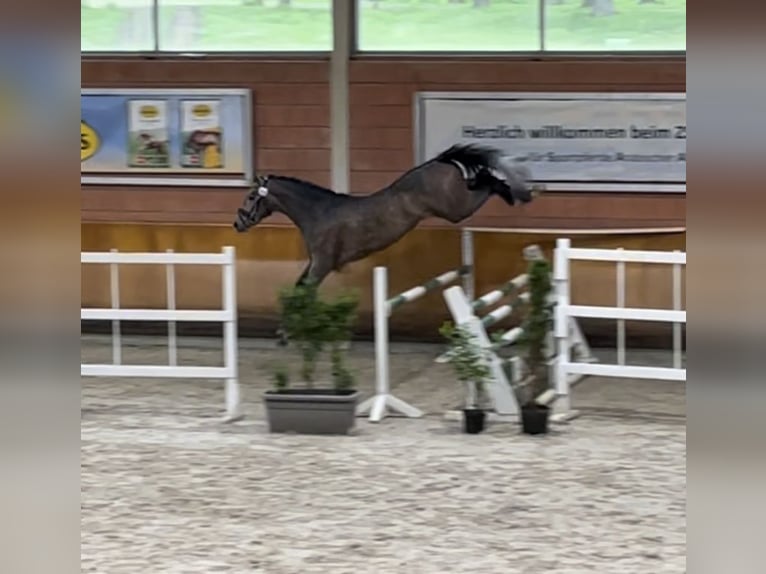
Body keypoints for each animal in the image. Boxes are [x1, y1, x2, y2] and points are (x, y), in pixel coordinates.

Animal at [237, 144, 544, 288]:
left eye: (251, 197)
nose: (238, 222)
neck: (318, 212)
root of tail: (438, 161)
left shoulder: (322, 266)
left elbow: (303, 292)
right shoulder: (315, 264)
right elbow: (298, 287)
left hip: (456, 208)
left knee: (486, 181)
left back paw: (518, 192)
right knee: (483, 178)